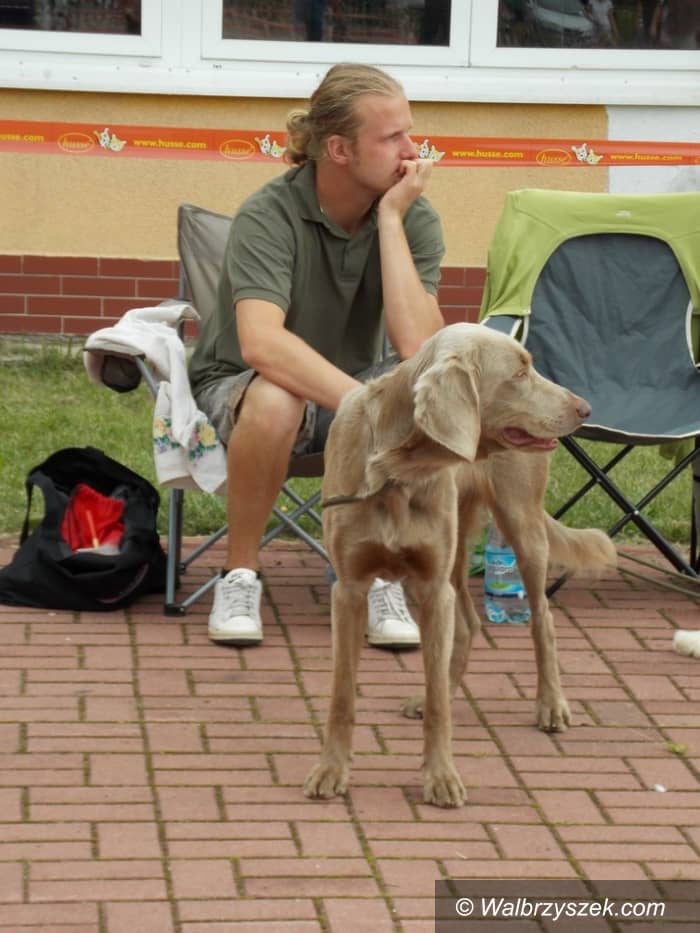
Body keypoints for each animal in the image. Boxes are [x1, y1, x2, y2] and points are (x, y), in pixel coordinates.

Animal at [303, 323, 616, 808]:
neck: (397, 470)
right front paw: (331, 770)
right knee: (468, 625)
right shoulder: (351, 588)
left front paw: (441, 777)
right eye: (520, 373)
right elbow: (342, 694)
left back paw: (551, 704)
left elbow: (439, 707)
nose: (584, 408)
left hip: (521, 524)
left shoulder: (433, 586)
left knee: (542, 621)